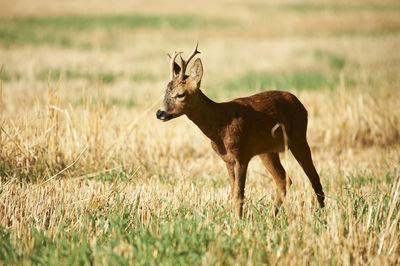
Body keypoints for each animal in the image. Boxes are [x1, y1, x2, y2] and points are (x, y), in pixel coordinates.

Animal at [156, 44, 324, 218]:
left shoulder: (241, 155)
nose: (159, 113)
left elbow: (239, 195)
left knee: (314, 178)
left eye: (180, 94)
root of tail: (299, 102)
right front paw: (235, 219)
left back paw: (322, 216)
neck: (219, 126)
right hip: (268, 151)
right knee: (284, 179)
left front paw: (239, 221)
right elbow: (233, 192)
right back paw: (272, 217)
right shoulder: (228, 160)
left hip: (299, 136)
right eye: (164, 92)